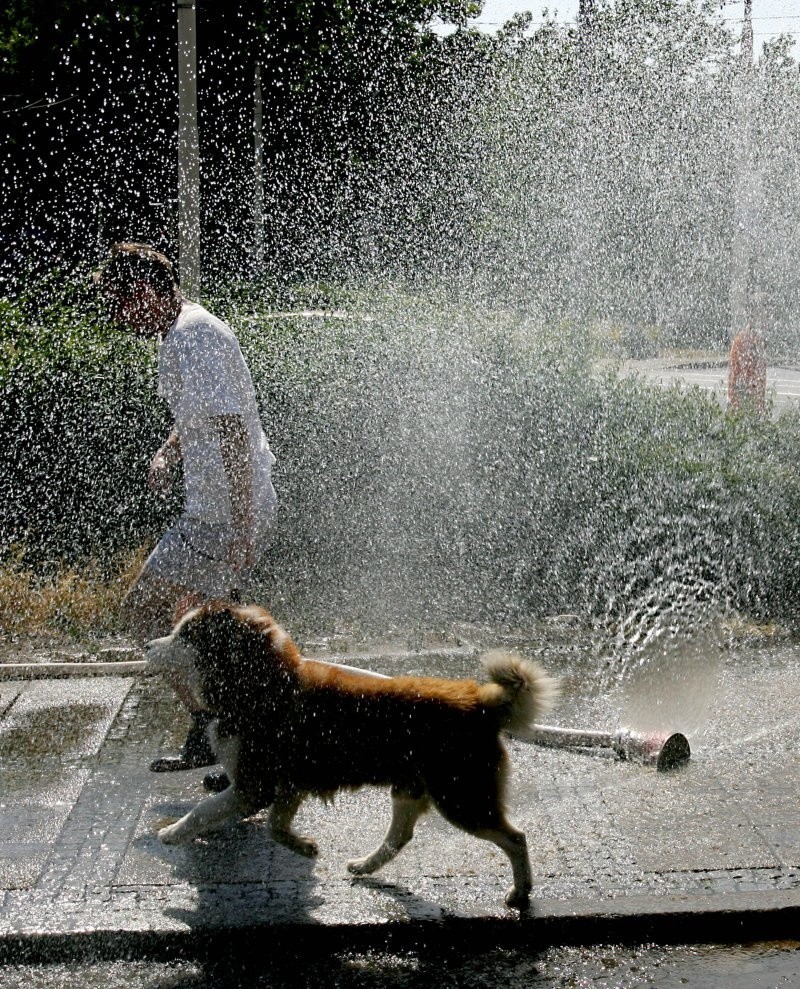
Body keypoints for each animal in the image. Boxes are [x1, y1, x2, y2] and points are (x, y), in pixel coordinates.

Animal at [145, 600, 556, 908]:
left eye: (185, 634)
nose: (148, 646)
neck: (259, 685)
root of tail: (482, 703)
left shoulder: (254, 786)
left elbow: (204, 810)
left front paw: (171, 833)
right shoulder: (288, 786)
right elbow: (273, 826)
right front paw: (305, 846)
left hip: (462, 798)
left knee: (515, 838)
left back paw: (520, 892)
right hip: (412, 789)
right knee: (400, 836)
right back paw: (366, 866)